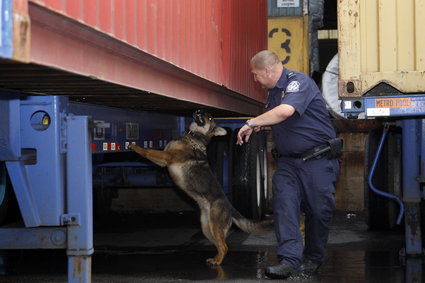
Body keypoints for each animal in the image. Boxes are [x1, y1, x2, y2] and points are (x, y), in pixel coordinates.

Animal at [129, 109, 274, 266]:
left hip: (214, 226)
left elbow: (148, 151)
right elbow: (151, 152)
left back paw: (217, 262)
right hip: (206, 228)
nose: (199, 110)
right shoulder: (163, 160)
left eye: (209, 118)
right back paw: (215, 258)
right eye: (204, 112)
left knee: (225, 247)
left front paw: (134, 147)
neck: (192, 137)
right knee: (221, 245)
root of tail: (230, 207)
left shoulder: (167, 157)